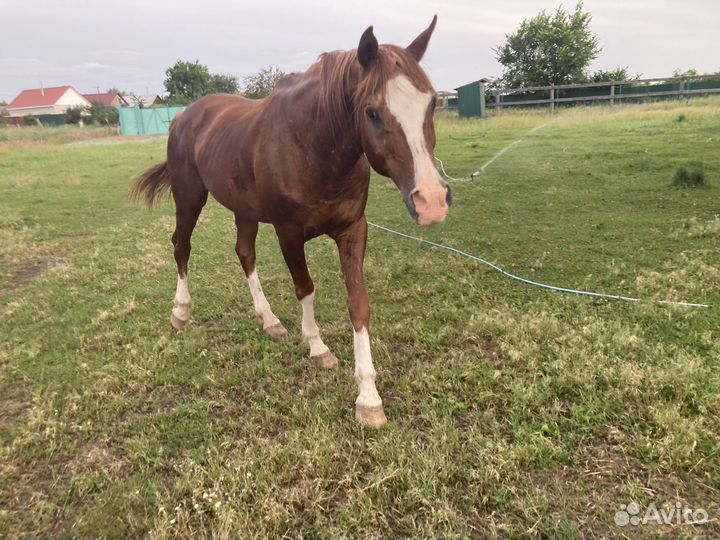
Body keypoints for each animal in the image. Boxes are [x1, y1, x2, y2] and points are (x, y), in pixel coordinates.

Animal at [132, 16, 451, 428]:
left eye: (431, 104)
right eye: (372, 112)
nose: (432, 201)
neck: (313, 147)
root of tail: (187, 115)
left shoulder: (353, 230)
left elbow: (358, 304)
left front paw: (368, 397)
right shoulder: (289, 234)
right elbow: (305, 288)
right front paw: (317, 347)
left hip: (244, 211)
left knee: (245, 253)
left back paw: (268, 320)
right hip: (189, 198)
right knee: (181, 245)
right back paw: (180, 313)